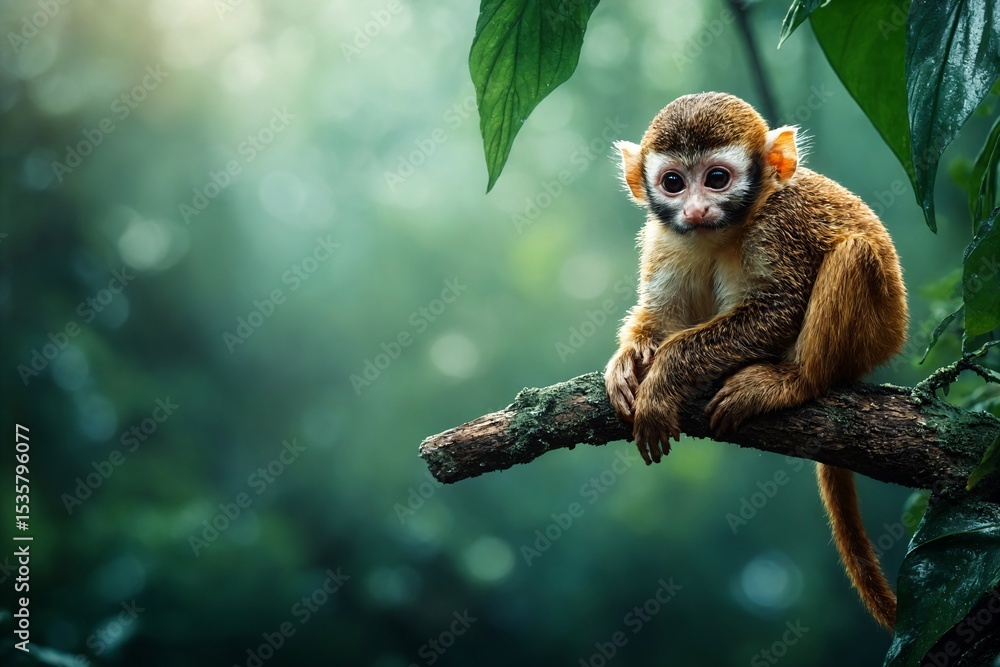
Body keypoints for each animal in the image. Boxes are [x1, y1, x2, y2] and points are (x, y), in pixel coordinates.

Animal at [604, 92, 908, 631]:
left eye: (717, 178)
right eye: (673, 183)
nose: (697, 209)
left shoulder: (778, 226)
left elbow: (779, 309)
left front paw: (662, 382)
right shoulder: (663, 238)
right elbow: (662, 318)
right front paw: (627, 362)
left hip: (874, 334)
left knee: (854, 252)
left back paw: (797, 380)